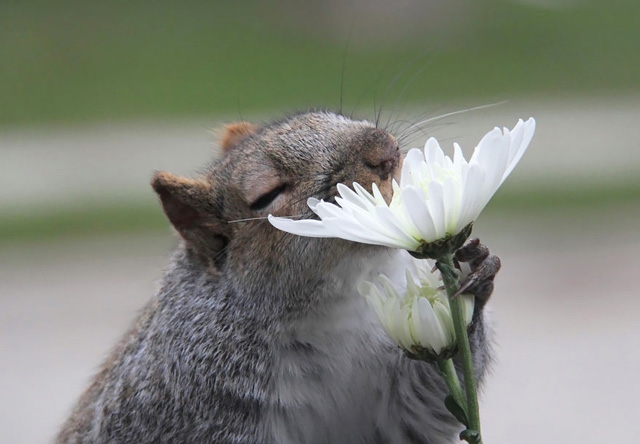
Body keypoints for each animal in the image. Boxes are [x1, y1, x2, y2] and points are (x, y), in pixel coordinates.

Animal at [55, 112, 498, 444]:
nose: (384, 149)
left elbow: (427, 404)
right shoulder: (190, 402)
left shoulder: (394, 400)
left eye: (331, 115)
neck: (334, 307)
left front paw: (473, 272)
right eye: (267, 194)